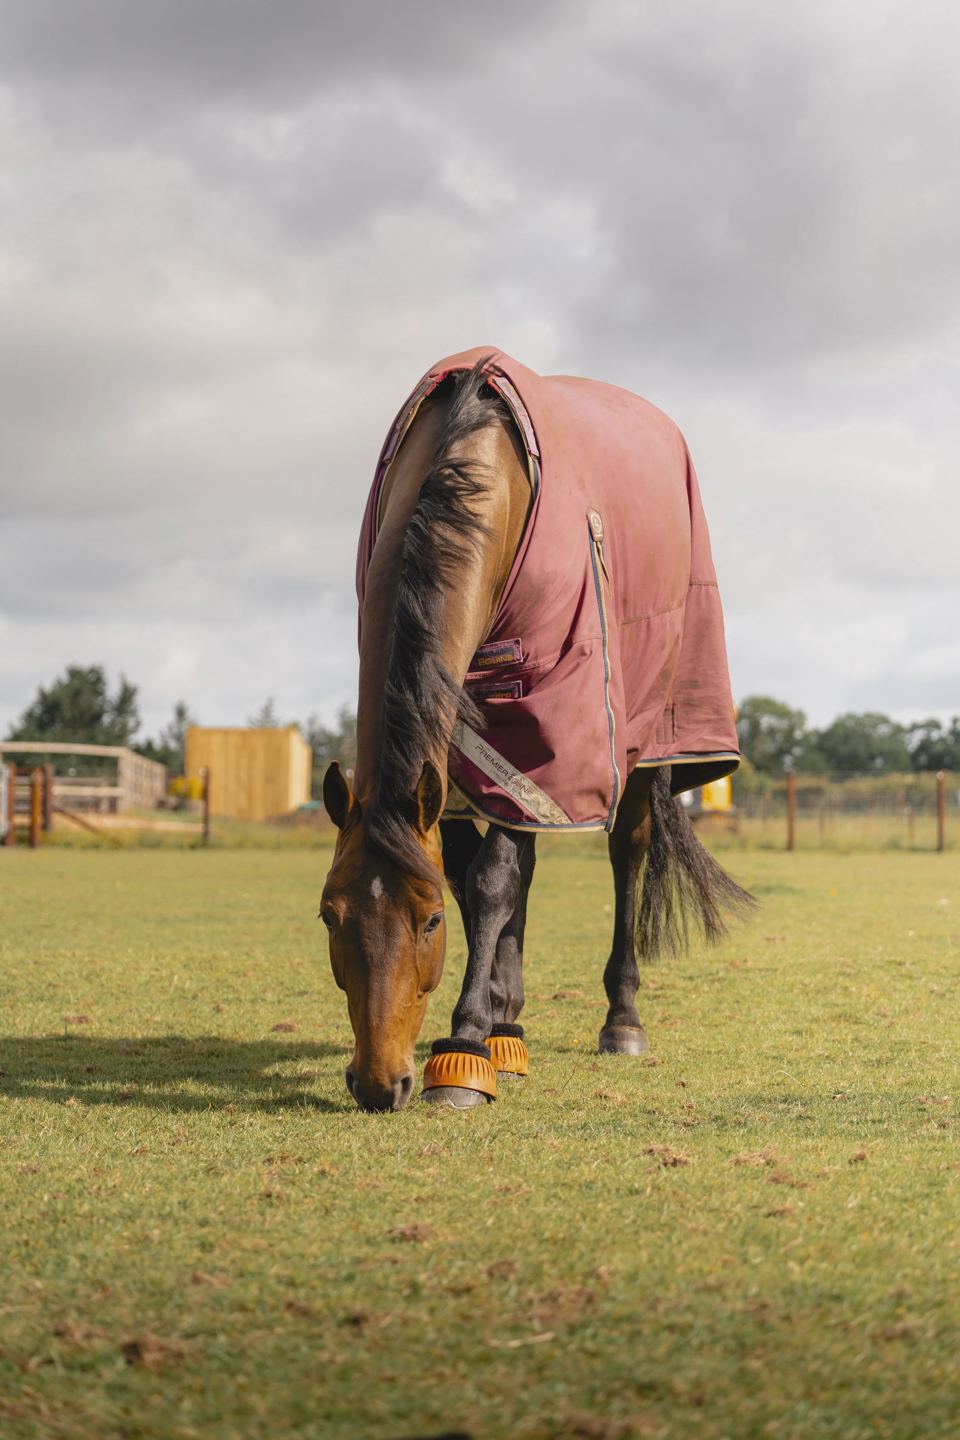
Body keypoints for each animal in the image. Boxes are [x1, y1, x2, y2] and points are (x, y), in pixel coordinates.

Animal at [321, 349, 754, 1112]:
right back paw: (510, 1023)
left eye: (428, 920)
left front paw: (464, 1050)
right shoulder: (458, 765)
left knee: (625, 853)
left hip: (641, 745)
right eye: (329, 915)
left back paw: (621, 1020)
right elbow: (479, 876)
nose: (378, 1083)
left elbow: (491, 881)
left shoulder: (542, 725)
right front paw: (497, 1028)